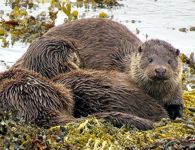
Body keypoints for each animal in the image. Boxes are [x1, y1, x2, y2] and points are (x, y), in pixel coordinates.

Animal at [43, 18, 183, 119]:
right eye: (150, 59)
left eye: (169, 61)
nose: (160, 70)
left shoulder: (175, 93)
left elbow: (177, 106)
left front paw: (176, 115)